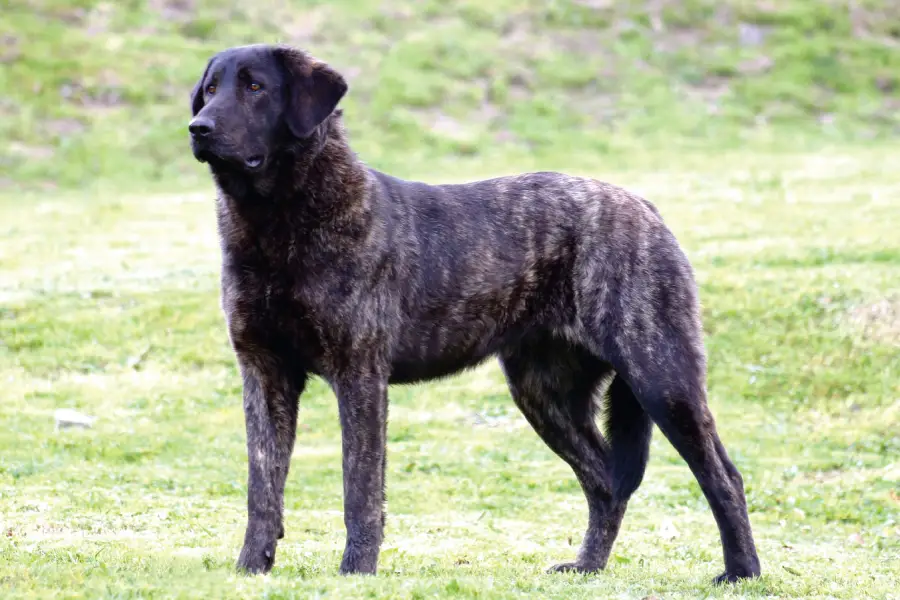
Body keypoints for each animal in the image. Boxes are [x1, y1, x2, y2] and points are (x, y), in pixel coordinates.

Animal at [188, 44, 760, 584]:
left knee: (722, 476)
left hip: (661, 377)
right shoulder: (265, 374)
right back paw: (587, 568)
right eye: (210, 89)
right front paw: (251, 569)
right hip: (544, 394)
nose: (199, 128)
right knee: (605, 482)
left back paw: (741, 571)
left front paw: (356, 572)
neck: (278, 224)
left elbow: (360, 490)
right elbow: (262, 487)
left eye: (256, 87)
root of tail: (645, 207)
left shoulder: (359, 377)